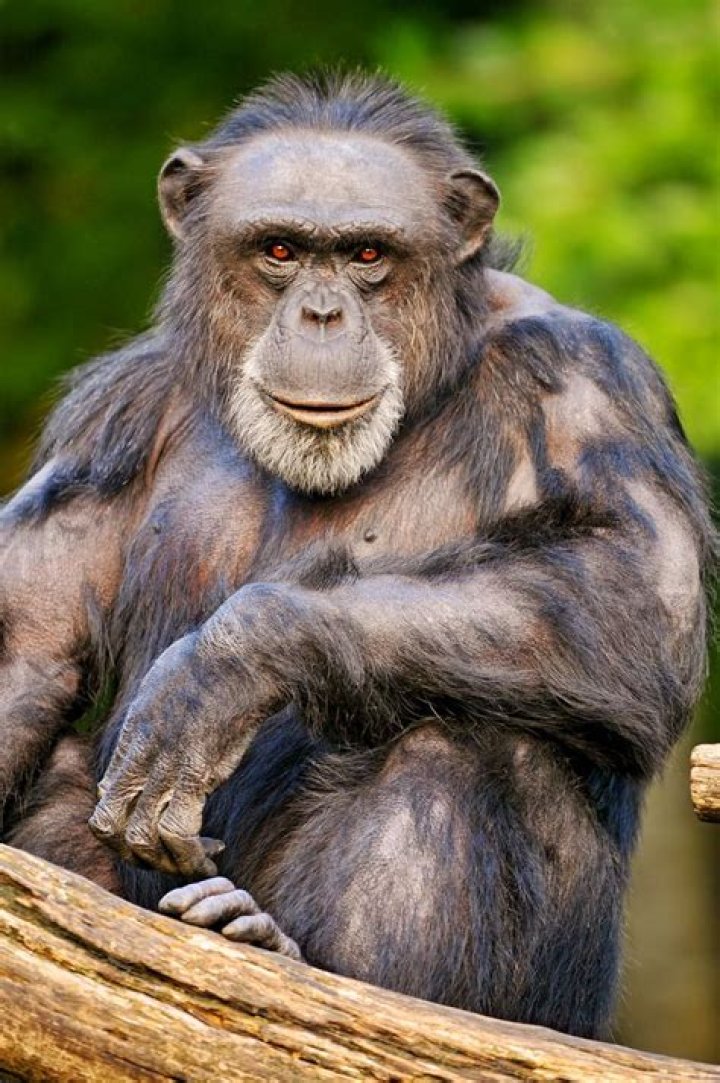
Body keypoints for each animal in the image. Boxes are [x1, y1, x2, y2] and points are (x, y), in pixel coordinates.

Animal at [0, 71, 713, 1039]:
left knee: (470, 737)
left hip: (566, 1007)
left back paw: (276, 946)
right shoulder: (109, 419)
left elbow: (634, 587)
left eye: (368, 253)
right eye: (279, 249)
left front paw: (226, 663)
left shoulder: (590, 383)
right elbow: (25, 650)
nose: (323, 312)